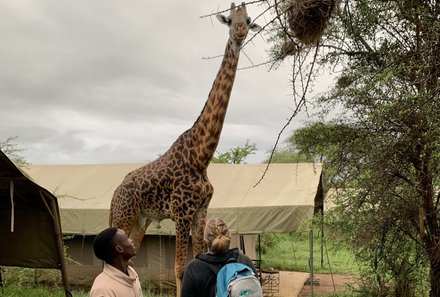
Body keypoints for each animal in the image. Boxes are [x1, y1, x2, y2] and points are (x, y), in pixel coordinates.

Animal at [109, 2, 260, 294]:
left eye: (248, 19)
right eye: (229, 19)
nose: (239, 31)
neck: (201, 157)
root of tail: (115, 192)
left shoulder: (201, 211)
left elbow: (196, 257)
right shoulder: (181, 213)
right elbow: (180, 268)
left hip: (141, 219)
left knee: (129, 260)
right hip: (123, 215)